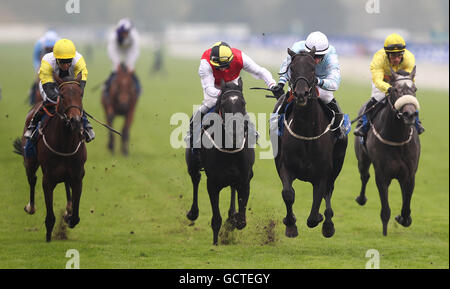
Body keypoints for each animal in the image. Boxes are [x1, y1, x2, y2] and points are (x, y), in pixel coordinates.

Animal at [13, 72, 86, 241]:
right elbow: (50, 216)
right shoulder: (48, 179)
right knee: (32, 179)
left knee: (66, 186)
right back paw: (31, 207)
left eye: (80, 94)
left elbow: (76, 216)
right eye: (62, 96)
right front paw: (48, 236)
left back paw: (68, 208)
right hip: (30, 161)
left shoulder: (77, 176)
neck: (65, 143)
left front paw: (69, 217)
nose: (75, 121)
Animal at [185, 77, 255, 244]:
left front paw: (232, 221)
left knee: (232, 188)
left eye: (243, 103)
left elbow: (241, 221)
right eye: (223, 104)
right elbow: (216, 219)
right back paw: (193, 212)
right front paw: (215, 243)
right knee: (195, 179)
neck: (230, 149)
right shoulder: (212, 183)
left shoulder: (245, 179)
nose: (235, 132)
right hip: (192, 164)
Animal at [270, 46, 348, 236]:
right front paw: (290, 224)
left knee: (329, 191)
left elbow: (315, 210)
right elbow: (288, 193)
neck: (306, 131)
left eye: (313, 69)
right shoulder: (285, 166)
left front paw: (321, 219)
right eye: (292, 68)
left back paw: (328, 223)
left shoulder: (323, 173)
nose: (300, 94)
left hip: (337, 165)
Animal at [356, 67, 422, 234]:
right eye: (396, 90)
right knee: (364, 176)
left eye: (415, 89)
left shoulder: (409, 174)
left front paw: (403, 218)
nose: (410, 114)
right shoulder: (382, 175)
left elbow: (406, 206)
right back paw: (361, 198)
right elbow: (385, 210)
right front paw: (385, 232)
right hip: (362, 158)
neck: (397, 139)